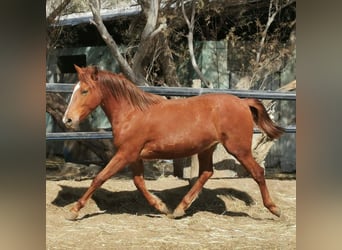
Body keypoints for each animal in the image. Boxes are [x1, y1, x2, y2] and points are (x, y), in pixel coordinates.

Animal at [62, 65, 284, 220]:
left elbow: (99, 178)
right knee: (206, 173)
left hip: (238, 149)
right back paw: (179, 209)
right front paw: (161, 207)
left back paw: (275, 209)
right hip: (207, 148)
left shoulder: (125, 153)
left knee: (258, 172)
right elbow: (138, 182)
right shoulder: (134, 156)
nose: (68, 120)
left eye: (84, 91)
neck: (132, 113)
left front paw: (73, 210)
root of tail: (243, 102)